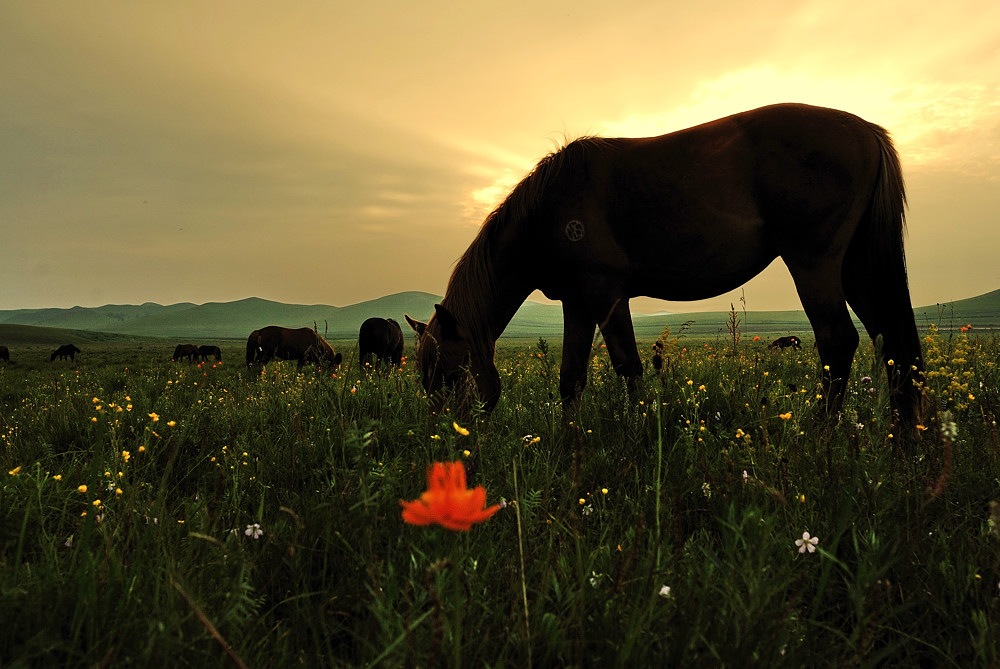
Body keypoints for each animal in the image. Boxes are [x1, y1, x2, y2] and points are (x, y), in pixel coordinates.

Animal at [406, 102, 928, 430]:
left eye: (449, 372)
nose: (447, 439)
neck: (549, 209)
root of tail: (868, 131)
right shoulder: (588, 301)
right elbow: (585, 377)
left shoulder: (601, 295)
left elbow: (614, 370)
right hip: (856, 267)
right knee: (892, 342)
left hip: (814, 264)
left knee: (838, 343)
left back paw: (820, 436)